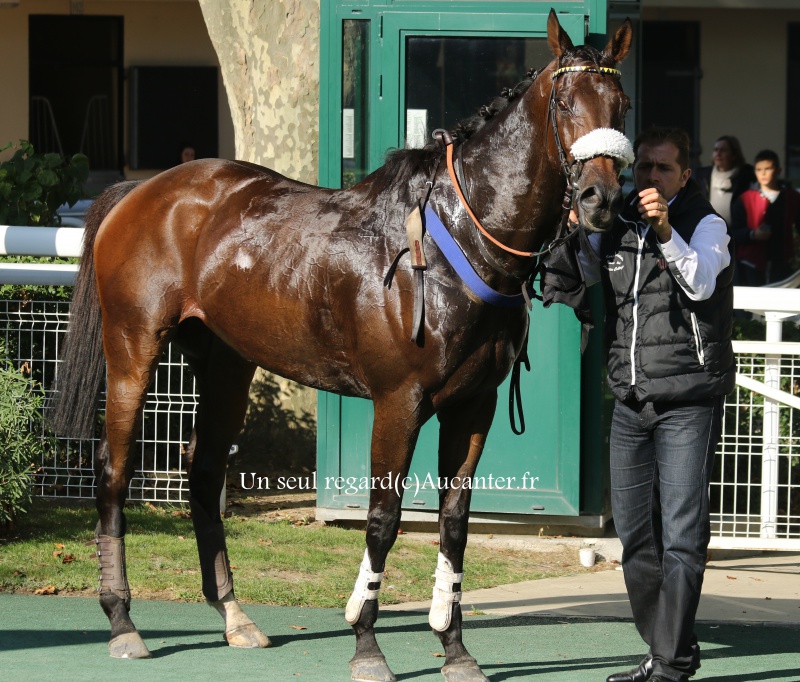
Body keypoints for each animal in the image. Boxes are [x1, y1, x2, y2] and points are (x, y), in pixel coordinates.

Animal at [48, 11, 632, 680]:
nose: (600, 198)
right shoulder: (398, 402)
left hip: (226, 364)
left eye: (621, 103)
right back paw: (122, 620)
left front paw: (455, 648)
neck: (455, 241)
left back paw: (233, 615)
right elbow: (382, 518)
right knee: (113, 470)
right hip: (132, 348)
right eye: (564, 102)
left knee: (202, 472)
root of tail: (140, 191)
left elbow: (454, 522)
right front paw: (367, 642)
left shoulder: (473, 405)